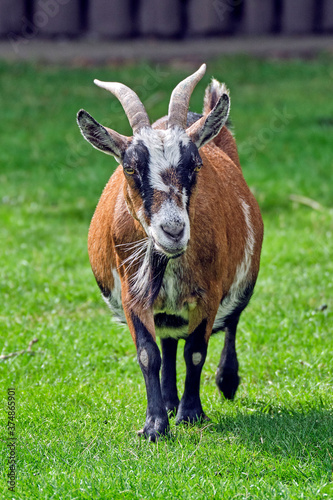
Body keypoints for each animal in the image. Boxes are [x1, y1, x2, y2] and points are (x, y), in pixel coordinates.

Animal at [76, 63, 264, 442]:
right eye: (129, 167)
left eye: (195, 165)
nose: (174, 230)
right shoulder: (134, 294)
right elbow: (149, 354)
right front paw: (155, 425)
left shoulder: (208, 294)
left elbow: (195, 352)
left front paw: (191, 414)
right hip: (164, 305)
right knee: (168, 341)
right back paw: (169, 399)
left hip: (243, 278)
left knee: (232, 320)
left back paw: (227, 381)